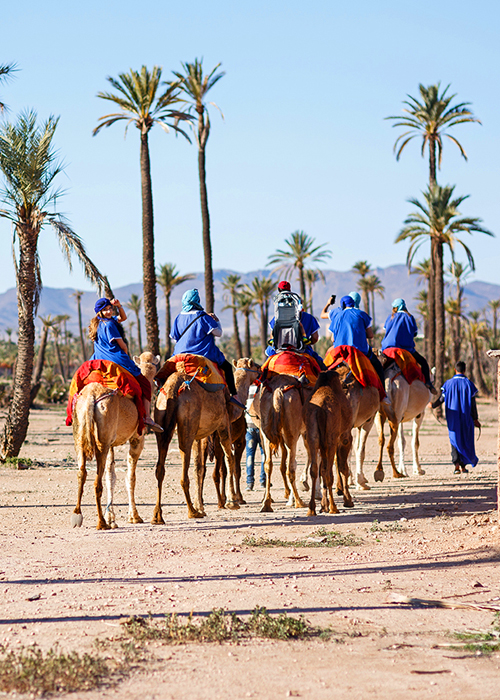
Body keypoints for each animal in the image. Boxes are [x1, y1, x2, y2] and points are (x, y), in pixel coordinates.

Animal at [70, 352, 160, 530]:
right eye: (154, 370)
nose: (154, 382)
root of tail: (91, 397)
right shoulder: (137, 439)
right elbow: (130, 478)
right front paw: (134, 517)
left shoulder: (111, 443)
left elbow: (110, 476)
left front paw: (112, 518)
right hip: (103, 440)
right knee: (96, 482)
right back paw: (101, 522)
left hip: (82, 434)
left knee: (82, 472)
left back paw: (77, 515)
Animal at [152, 357, 257, 521]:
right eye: (256, 367)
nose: (262, 370)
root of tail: (172, 390)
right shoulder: (225, 425)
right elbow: (230, 461)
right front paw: (232, 502)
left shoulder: (200, 437)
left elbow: (199, 468)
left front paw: (201, 505)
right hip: (187, 424)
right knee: (185, 469)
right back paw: (192, 511)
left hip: (161, 420)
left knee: (160, 468)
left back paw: (158, 516)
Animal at [304, 370, 354, 516]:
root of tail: (320, 409)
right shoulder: (345, 437)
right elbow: (343, 468)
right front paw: (348, 500)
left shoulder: (322, 443)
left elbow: (322, 469)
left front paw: (323, 506)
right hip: (331, 438)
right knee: (329, 473)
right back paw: (333, 508)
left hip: (312, 437)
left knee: (315, 470)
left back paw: (311, 509)